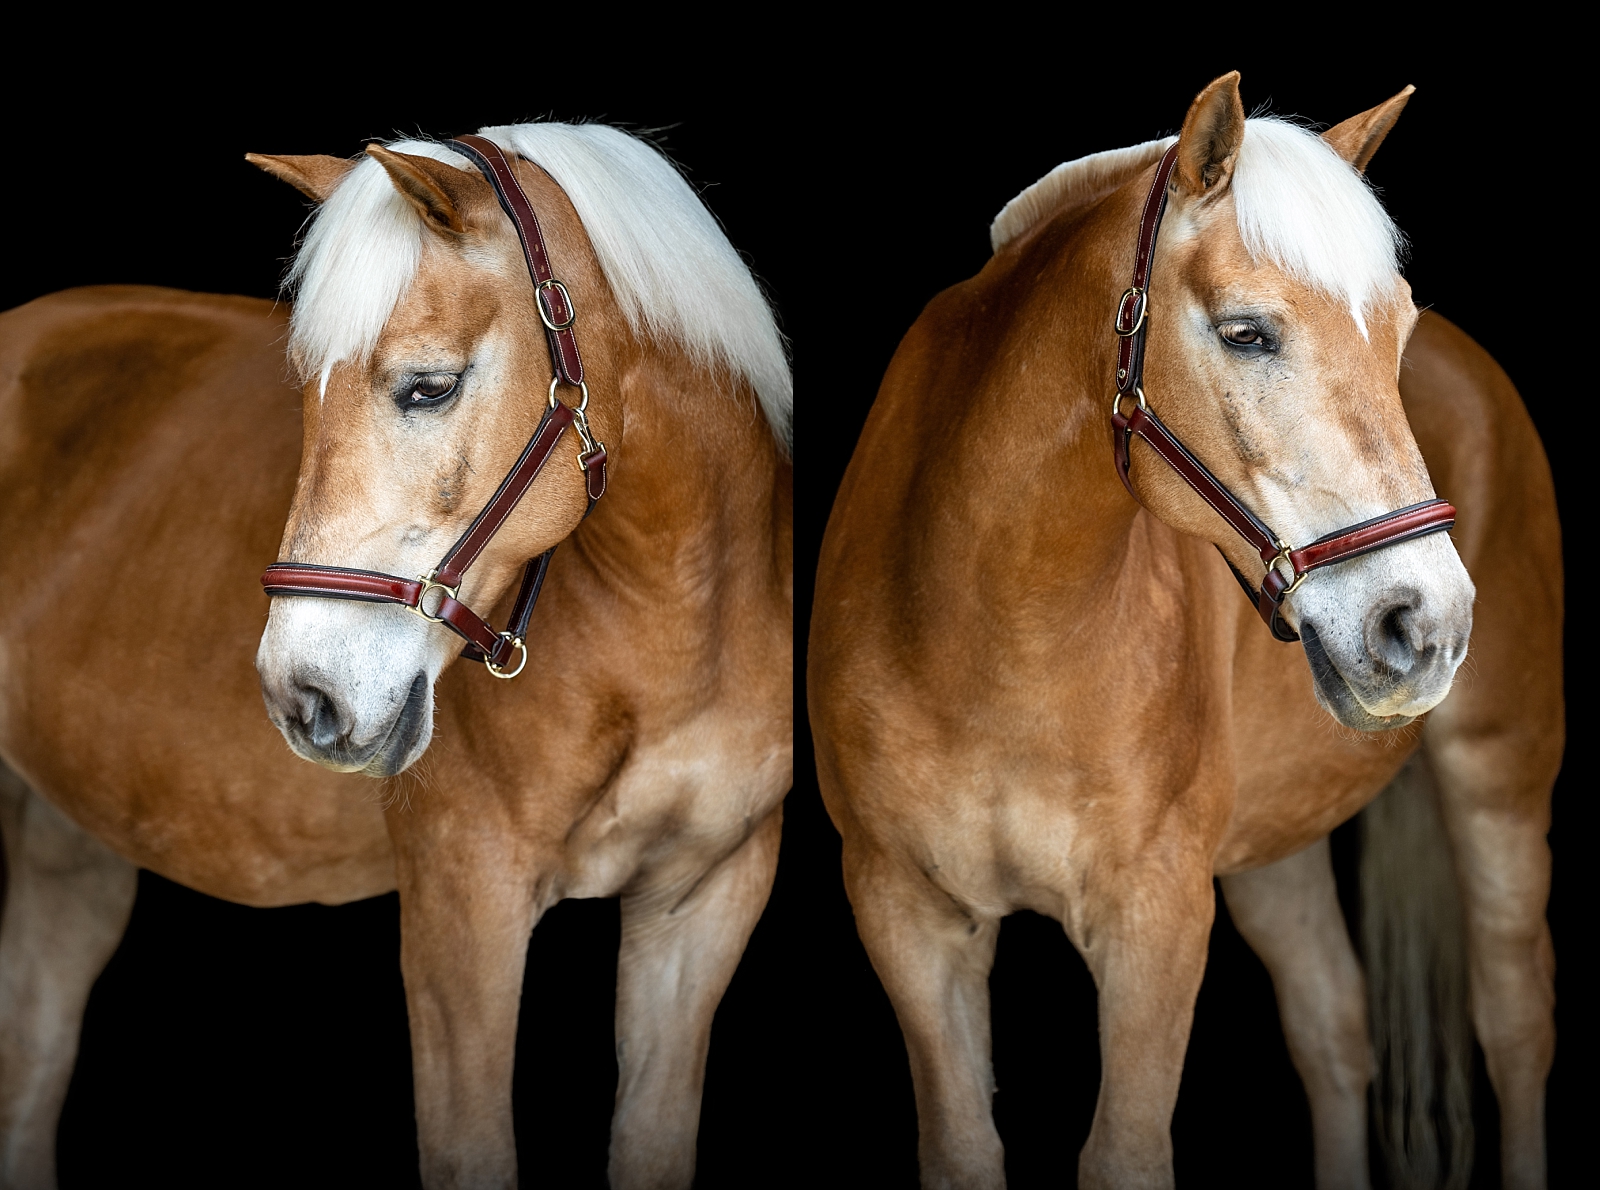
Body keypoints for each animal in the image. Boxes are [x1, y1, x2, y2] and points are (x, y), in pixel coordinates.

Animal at [806, 74, 1555, 1190]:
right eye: (1246, 333)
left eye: (1396, 332)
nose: (1423, 623)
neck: (994, 639)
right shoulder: (908, 915)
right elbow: (963, 1147)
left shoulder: (1155, 919)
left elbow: (1125, 1149)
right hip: (1275, 843)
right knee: (1333, 1030)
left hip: (1500, 779)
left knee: (1512, 1026)